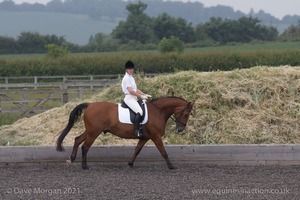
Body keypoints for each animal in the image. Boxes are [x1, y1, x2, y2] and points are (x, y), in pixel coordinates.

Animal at [56, 96, 196, 170]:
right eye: (186, 114)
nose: (180, 129)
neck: (158, 111)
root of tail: (90, 105)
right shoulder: (155, 137)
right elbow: (163, 152)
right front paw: (171, 166)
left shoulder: (145, 137)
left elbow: (137, 150)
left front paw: (130, 163)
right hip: (94, 132)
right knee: (85, 146)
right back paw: (84, 166)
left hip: (91, 131)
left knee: (77, 139)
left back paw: (71, 160)